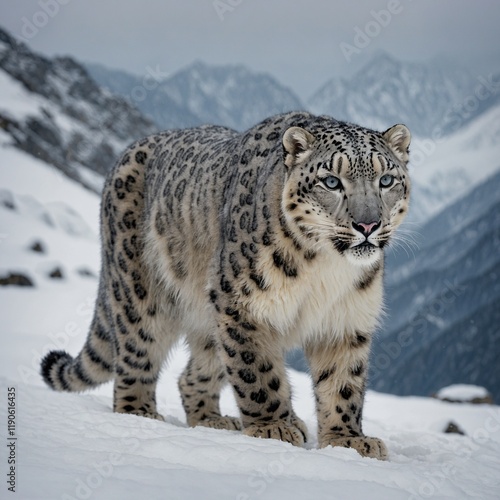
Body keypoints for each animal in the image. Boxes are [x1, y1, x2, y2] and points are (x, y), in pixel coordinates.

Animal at [42, 111, 410, 458]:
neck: (326, 268)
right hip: (140, 293)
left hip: (209, 323)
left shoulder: (346, 320)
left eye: (386, 180)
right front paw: (273, 427)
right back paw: (141, 414)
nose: (368, 224)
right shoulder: (242, 304)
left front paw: (348, 440)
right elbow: (257, 371)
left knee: (194, 374)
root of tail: (130, 150)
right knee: (137, 354)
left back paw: (213, 420)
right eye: (331, 181)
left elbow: (343, 382)